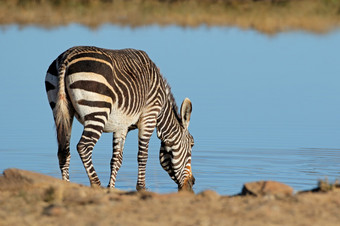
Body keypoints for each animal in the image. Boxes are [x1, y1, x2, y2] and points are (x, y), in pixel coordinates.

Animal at [44, 46, 197, 192]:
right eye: (192, 145)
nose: (193, 182)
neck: (161, 109)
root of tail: (67, 57)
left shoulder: (121, 126)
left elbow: (116, 159)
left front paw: (111, 188)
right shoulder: (149, 117)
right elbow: (143, 155)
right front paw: (141, 187)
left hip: (61, 111)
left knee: (63, 151)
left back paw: (66, 185)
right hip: (97, 110)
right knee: (83, 147)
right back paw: (96, 184)